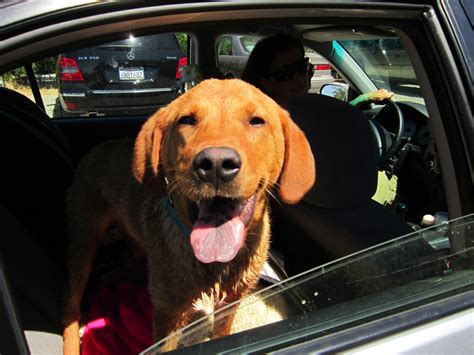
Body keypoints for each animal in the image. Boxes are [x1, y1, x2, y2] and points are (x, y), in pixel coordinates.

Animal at [63, 79, 314, 354]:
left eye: (257, 121)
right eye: (186, 120)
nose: (216, 164)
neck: (216, 264)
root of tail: (96, 149)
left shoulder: (231, 298)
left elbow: (222, 332)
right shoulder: (168, 314)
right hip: (83, 242)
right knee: (70, 305)